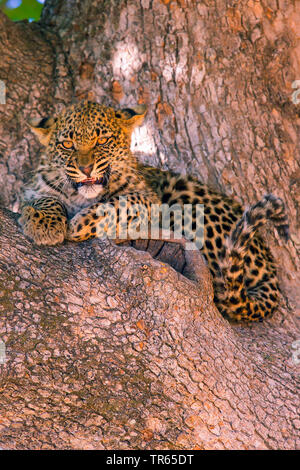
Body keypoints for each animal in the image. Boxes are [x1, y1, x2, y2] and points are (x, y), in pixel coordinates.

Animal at [18, 100, 288, 324]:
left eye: (102, 141)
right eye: (67, 145)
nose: (86, 169)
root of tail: (269, 264)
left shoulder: (148, 198)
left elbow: (117, 205)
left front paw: (79, 224)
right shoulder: (29, 192)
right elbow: (44, 199)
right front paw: (45, 225)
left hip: (183, 194)